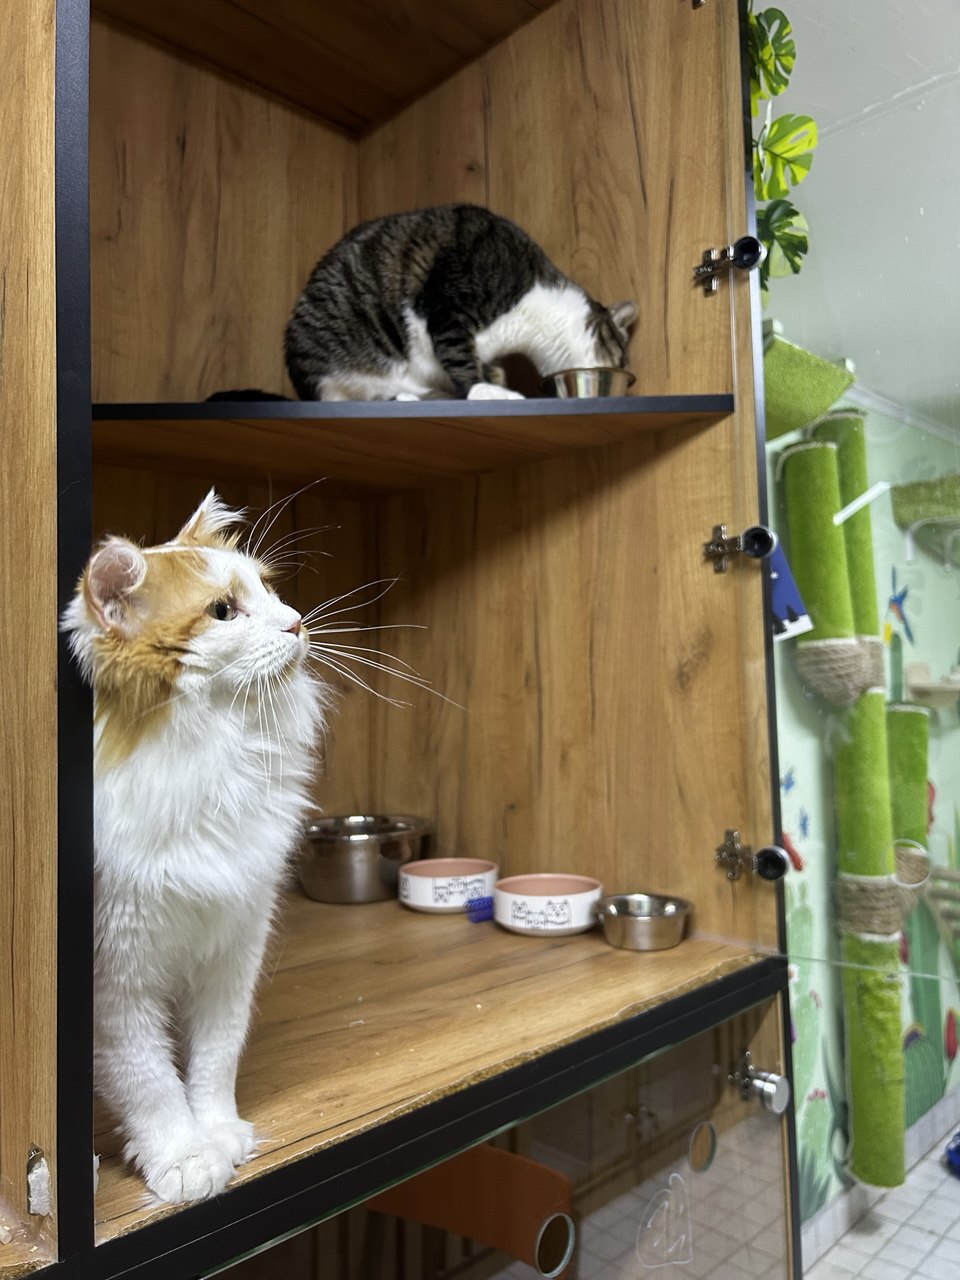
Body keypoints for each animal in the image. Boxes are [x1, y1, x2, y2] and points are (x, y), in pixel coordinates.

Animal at [62, 492, 328, 1203]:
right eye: (223, 612)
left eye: (269, 590)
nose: (296, 623)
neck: (219, 762)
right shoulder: (116, 981)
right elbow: (149, 1082)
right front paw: (184, 1158)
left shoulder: (235, 951)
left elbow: (214, 1057)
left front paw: (220, 1132)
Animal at [284, 203, 637, 402]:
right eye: (622, 359)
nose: (624, 374)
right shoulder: (448, 303)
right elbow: (459, 356)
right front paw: (487, 390)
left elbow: (485, 365)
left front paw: (493, 379)